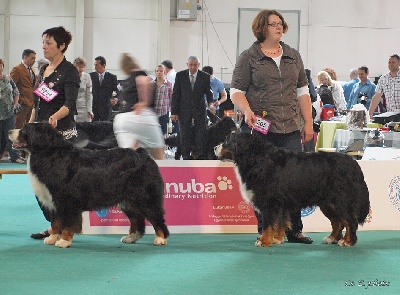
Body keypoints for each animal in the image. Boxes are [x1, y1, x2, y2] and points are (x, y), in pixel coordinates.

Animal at [9, 123, 169, 249]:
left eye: (24, 130)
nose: (10, 131)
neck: (49, 154)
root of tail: (143, 154)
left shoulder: (66, 200)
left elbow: (67, 223)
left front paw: (64, 241)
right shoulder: (52, 200)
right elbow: (55, 222)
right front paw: (52, 238)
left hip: (145, 197)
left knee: (156, 218)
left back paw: (160, 238)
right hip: (127, 200)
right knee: (137, 219)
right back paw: (131, 237)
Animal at [217, 132, 370, 247]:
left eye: (226, 141)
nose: (214, 147)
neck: (256, 158)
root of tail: (353, 162)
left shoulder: (269, 201)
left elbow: (268, 224)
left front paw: (264, 241)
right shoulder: (280, 203)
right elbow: (279, 222)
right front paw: (276, 239)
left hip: (339, 200)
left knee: (350, 221)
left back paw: (347, 241)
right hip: (327, 203)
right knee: (337, 222)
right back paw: (331, 238)